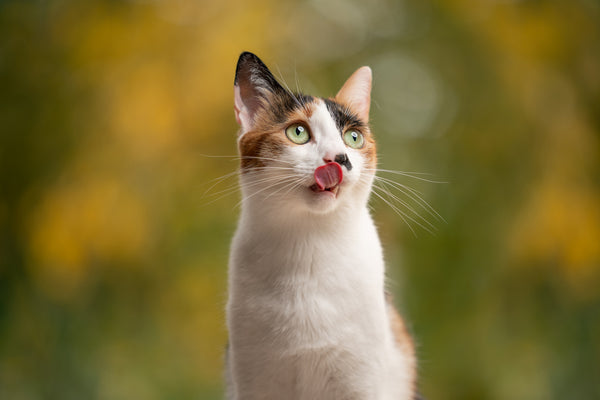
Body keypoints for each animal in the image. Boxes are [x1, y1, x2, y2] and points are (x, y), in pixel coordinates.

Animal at [225, 51, 418, 398]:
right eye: (298, 133)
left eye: (353, 137)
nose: (339, 159)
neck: (310, 244)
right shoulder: (255, 379)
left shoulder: (362, 381)